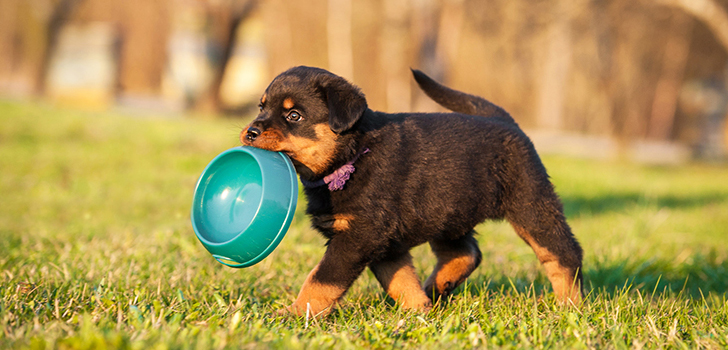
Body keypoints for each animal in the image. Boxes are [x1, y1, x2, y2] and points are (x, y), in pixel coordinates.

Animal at [242, 66, 584, 318]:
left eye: (294, 116)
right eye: (262, 107)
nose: (250, 132)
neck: (352, 156)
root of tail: (504, 119)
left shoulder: (359, 236)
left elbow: (321, 279)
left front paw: (293, 313)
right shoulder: (384, 242)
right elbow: (400, 279)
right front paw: (418, 311)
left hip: (530, 204)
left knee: (563, 253)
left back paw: (571, 305)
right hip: (449, 212)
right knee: (466, 252)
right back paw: (437, 287)